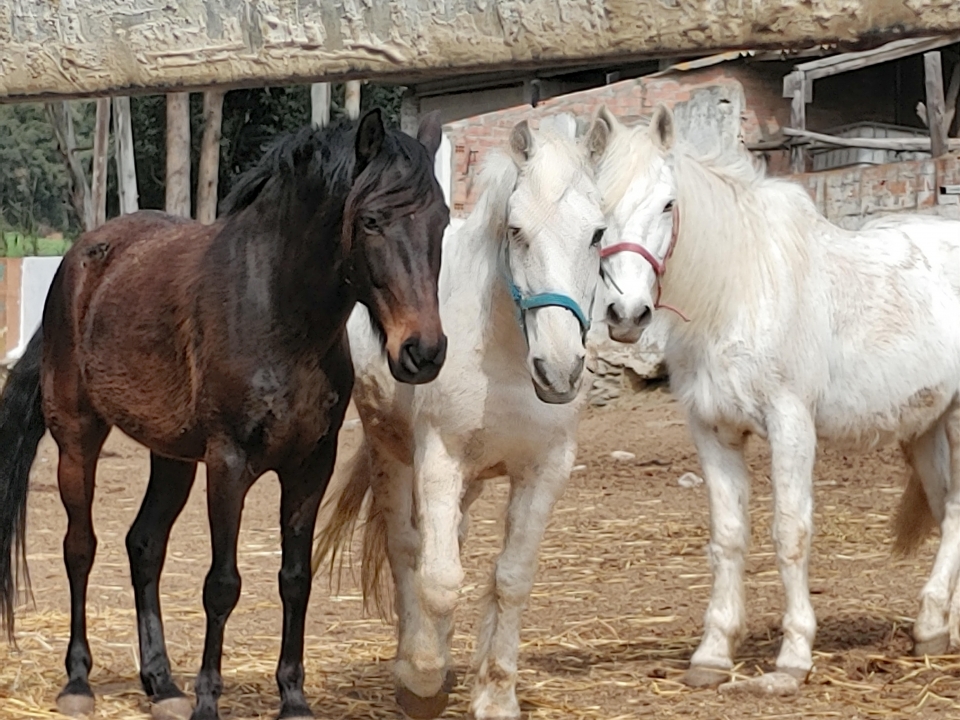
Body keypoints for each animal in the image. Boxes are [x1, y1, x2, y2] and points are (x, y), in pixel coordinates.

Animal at [0, 109, 450, 720]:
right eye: (373, 220)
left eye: (442, 220)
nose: (423, 351)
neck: (278, 315)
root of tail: (79, 258)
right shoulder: (228, 464)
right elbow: (222, 584)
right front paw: (208, 699)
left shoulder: (311, 466)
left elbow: (295, 578)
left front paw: (293, 699)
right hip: (77, 439)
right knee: (81, 548)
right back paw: (78, 683)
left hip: (171, 458)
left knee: (144, 546)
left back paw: (162, 683)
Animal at [311, 114, 610, 720]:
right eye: (516, 230)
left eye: (596, 234)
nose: (559, 368)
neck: (505, 358)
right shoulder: (439, 459)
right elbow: (439, 578)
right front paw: (422, 679)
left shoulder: (545, 470)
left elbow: (511, 579)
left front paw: (494, 692)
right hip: (392, 453)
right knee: (407, 548)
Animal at [587, 102, 960, 685]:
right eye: (600, 210)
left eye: (668, 204)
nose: (627, 314)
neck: (738, 291)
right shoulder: (713, 430)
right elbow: (728, 536)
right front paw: (713, 654)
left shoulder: (790, 424)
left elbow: (790, 533)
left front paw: (793, 658)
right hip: (925, 426)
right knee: (947, 513)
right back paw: (935, 629)